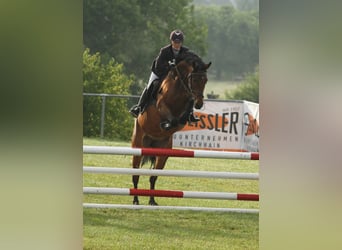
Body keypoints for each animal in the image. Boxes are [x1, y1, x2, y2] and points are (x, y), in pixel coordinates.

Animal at [131, 52, 211, 205]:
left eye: (205, 80)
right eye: (194, 79)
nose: (199, 104)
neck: (180, 86)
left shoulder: (186, 102)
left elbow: (183, 115)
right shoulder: (161, 104)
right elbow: (170, 116)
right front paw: (167, 124)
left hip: (163, 153)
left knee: (153, 177)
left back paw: (152, 200)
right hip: (138, 145)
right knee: (135, 174)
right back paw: (136, 200)